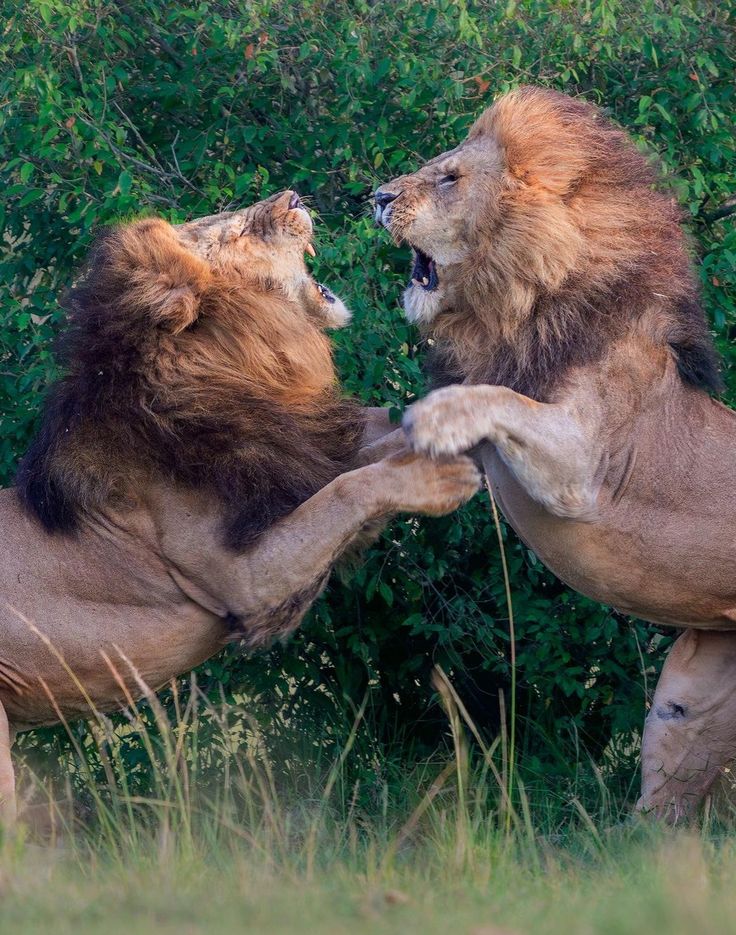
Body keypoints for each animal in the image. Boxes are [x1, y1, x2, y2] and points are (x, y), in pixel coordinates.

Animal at [0, 190, 480, 820]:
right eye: (233, 233)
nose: (292, 196)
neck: (237, 368)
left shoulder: (304, 453)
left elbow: (378, 443)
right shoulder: (244, 579)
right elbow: (349, 489)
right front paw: (441, 478)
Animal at [376, 86, 736, 820]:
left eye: (449, 178)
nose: (376, 196)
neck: (517, 306)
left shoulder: (582, 468)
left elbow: (499, 400)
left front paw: (434, 416)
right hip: (697, 693)